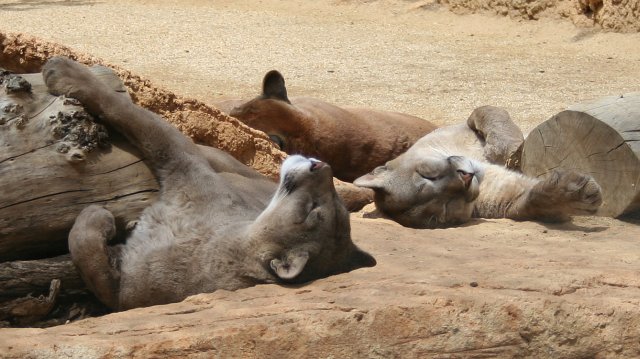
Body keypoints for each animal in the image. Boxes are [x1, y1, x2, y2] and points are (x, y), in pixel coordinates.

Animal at [42, 57, 376, 310]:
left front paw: (62, 70)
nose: (322, 166)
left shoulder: (127, 292)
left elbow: (88, 255)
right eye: (332, 204)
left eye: (311, 210)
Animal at [352, 106, 604, 228]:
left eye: (427, 175)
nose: (464, 178)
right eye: (445, 208)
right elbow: (533, 202)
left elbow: (486, 112)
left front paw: (506, 148)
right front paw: (572, 195)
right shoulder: (508, 200)